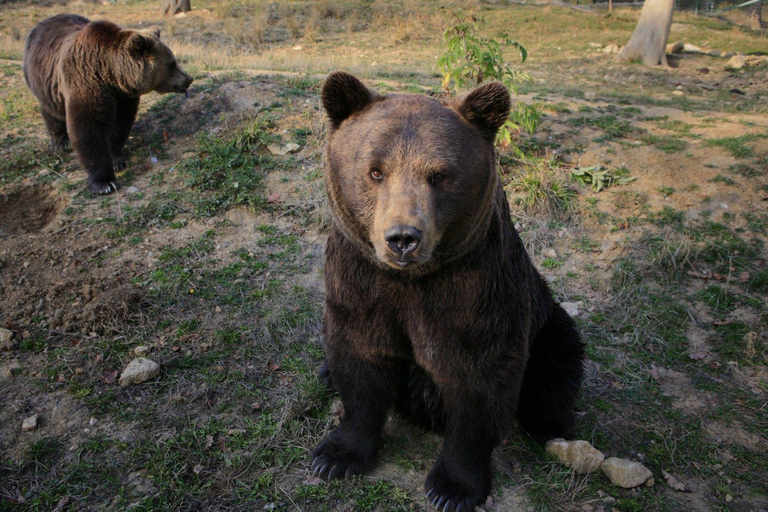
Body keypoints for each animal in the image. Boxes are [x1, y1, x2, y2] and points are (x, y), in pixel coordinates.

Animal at [23, 14, 193, 195]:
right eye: (171, 63)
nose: (188, 79)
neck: (111, 72)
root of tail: (44, 22)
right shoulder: (86, 82)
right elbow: (89, 129)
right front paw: (104, 183)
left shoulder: (123, 96)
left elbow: (121, 123)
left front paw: (117, 159)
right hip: (44, 82)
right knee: (52, 114)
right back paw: (61, 143)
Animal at [312, 71, 586, 511]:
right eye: (375, 171)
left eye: (439, 174)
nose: (402, 238)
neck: (412, 279)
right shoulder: (360, 280)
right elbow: (360, 359)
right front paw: (336, 456)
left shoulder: (476, 292)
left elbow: (478, 384)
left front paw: (452, 488)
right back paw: (325, 373)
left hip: (547, 324)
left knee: (556, 369)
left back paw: (554, 427)